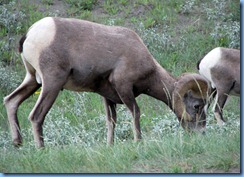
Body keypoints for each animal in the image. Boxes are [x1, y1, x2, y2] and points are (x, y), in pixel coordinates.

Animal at [3, 17, 209, 148]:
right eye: (197, 105)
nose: (202, 133)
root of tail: (30, 34)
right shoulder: (124, 87)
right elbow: (136, 113)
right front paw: (138, 142)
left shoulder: (107, 96)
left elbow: (111, 121)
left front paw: (110, 145)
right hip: (51, 83)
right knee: (36, 116)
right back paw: (42, 149)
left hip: (33, 80)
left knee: (11, 101)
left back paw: (17, 143)